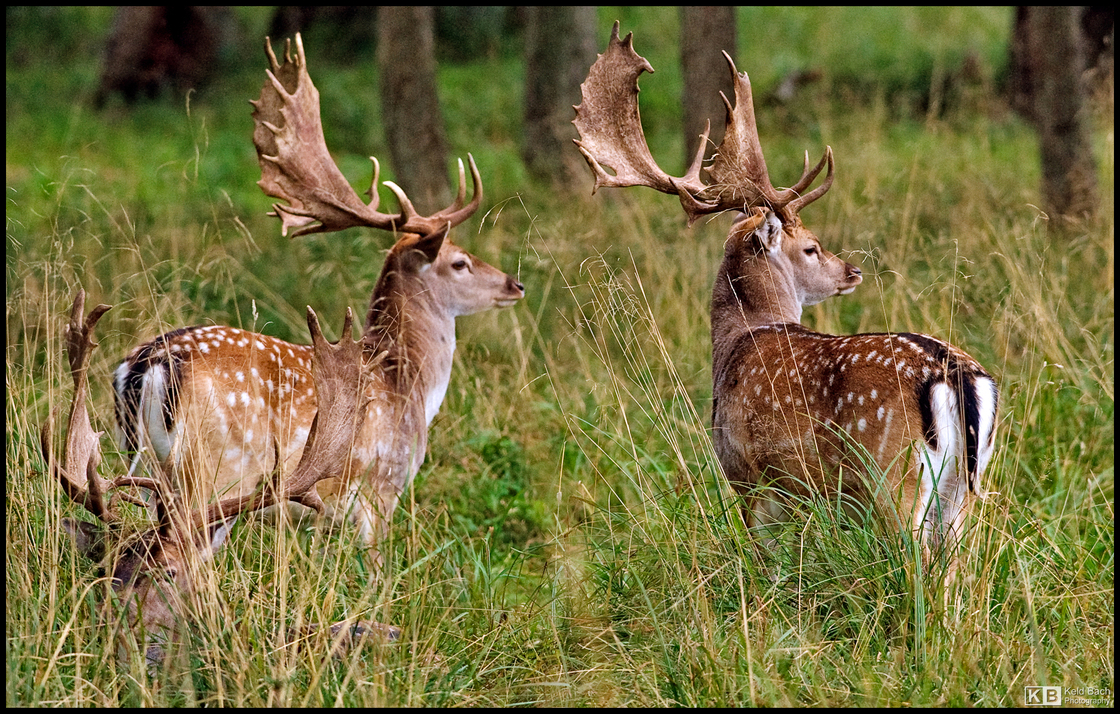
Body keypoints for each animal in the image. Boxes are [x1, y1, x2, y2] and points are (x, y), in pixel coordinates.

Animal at [111, 34, 524, 586]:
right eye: (459, 261)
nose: (514, 284)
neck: (407, 385)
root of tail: (148, 364)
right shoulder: (380, 488)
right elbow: (377, 575)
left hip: (144, 464)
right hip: (213, 470)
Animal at [574, 23, 999, 583]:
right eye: (812, 247)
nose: (851, 271)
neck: (738, 342)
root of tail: (954, 372)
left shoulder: (749, 474)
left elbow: (767, 561)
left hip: (891, 473)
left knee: (919, 563)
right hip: (964, 485)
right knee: (956, 568)